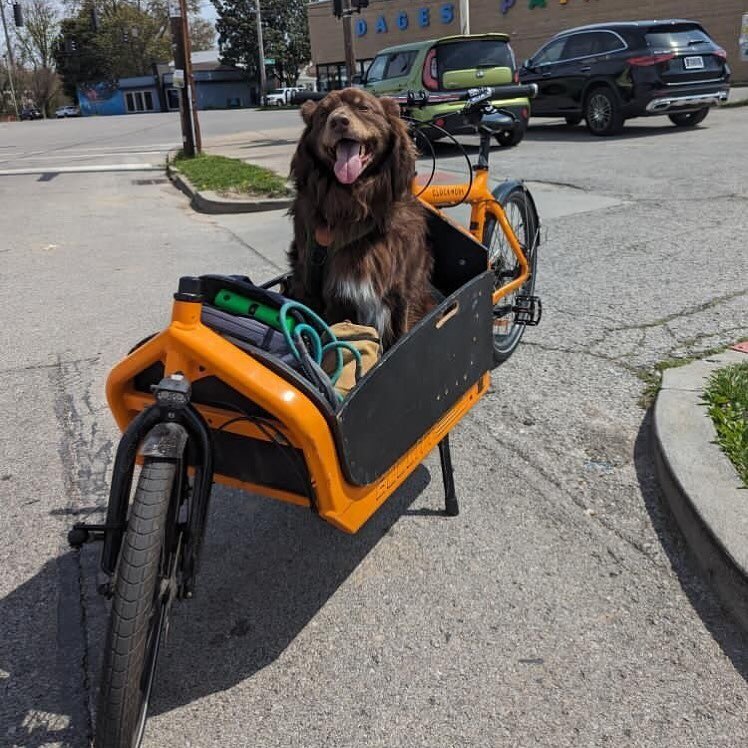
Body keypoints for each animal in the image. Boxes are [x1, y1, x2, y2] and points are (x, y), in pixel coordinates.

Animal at [290, 87, 436, 348]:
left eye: (363, 108)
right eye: (323, 114)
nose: (338, 121)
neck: (355, 206)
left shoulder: (403, 292)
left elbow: (403, 334)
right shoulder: (333, 297)